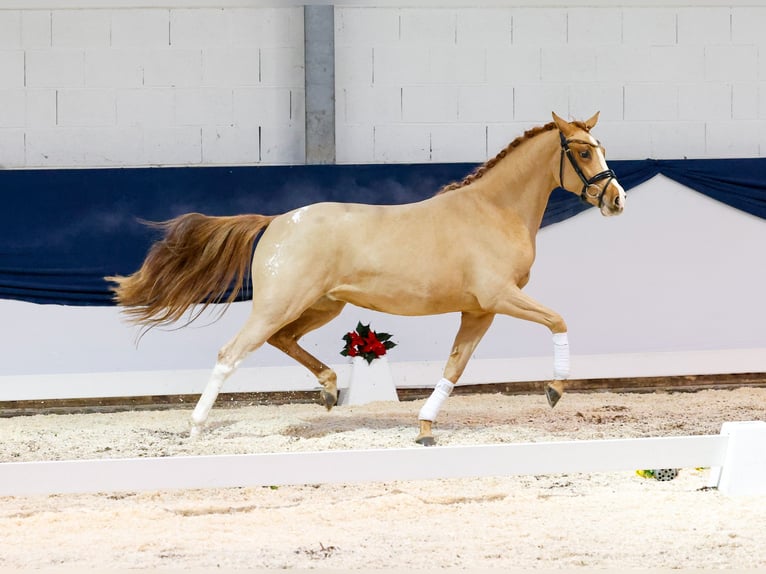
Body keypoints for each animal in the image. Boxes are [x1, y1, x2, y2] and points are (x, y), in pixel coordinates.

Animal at [106, 111, 624, 446]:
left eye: (602, 148)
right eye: (582, 151)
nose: (616, 200)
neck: (494, 211)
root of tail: (276, 222)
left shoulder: (478, 310)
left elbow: (454, 368)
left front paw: (425, 427)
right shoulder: (501, 297)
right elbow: (558, 321)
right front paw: (555, 390)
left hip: (321, 305)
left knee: (283, 341)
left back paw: (330, 388)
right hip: (280, 304)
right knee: (230, 354)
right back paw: (195, 427)